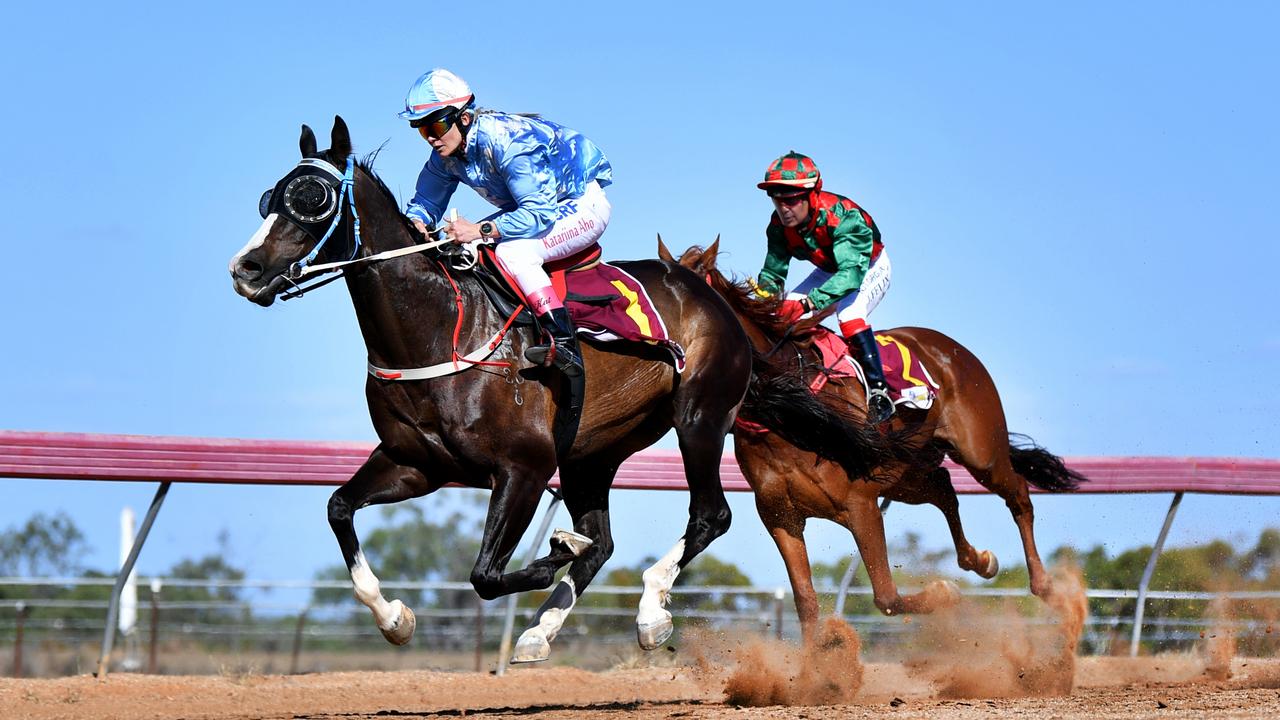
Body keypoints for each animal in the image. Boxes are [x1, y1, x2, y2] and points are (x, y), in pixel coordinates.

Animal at [230, 119, 896, 661]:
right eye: (270, 195)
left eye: (313, 199)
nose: (246, 270)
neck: (440, 329)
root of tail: (715, 302)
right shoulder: (416, 463)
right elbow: (339, 508)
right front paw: (395, 618)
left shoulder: (523, 467)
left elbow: (487, 574)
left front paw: (556, 550)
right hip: (590, 454)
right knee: (604, 542)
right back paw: (540, 632)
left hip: (699, 419)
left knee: (710, 514)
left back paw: (650, 613)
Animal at [665, 239, 1085, 638]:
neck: (788, 416)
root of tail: (953, 349)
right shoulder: (782, 517)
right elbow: (807, 604)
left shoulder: (861, 506)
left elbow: (886, 597)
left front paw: (943, 593)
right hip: (906, 473)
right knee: (944, 490)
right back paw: (980, 560)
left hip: (981, 453)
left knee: (1017, 493)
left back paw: (1046, 586)